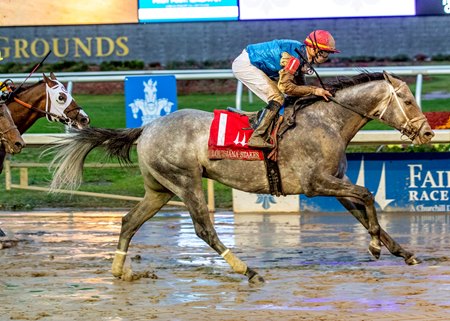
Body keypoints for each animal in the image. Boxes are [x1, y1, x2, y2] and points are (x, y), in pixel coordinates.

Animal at [50, 72, 436, 282]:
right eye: (406, 100)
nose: (428, 133)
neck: (328, 120)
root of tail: (146, 127)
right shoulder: (315, 184)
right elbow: (368, 195)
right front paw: (374, 247)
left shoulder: (335, 183)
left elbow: (366, 209)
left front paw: (404, 252)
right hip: (186, 181)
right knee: (204, 230)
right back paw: (247, 269)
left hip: (159, 189)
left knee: (129, 221)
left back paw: (121, 272)